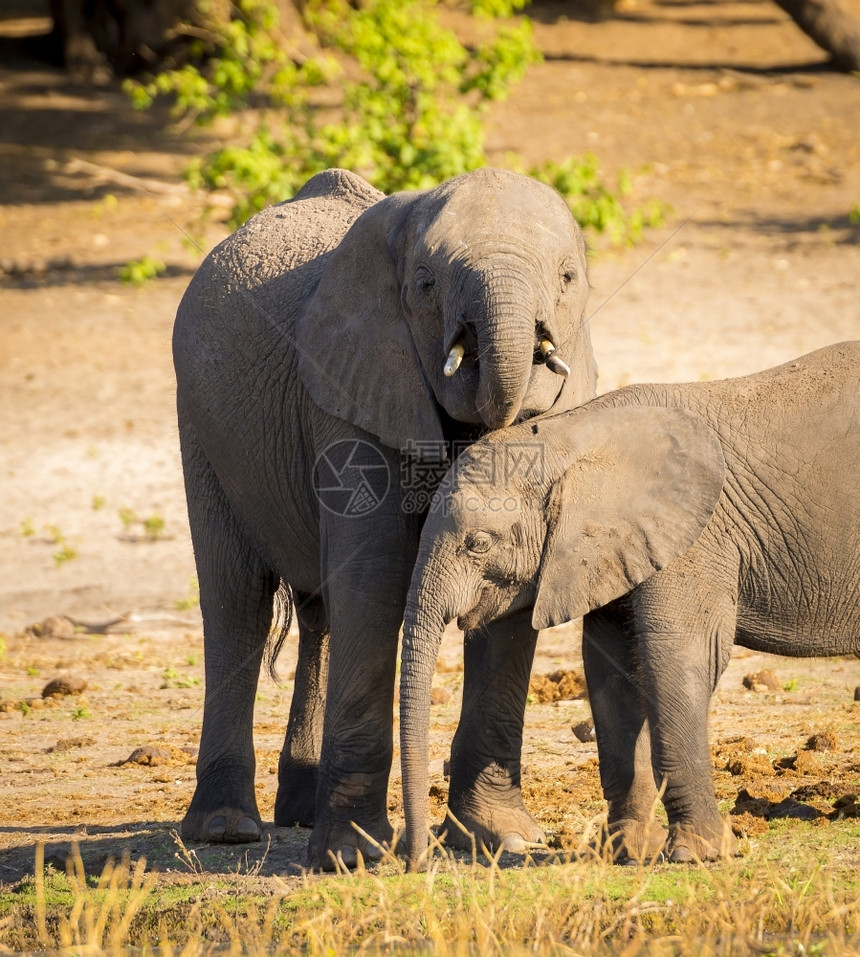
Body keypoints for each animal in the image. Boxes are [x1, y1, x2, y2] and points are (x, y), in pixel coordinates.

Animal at [170, 164, 596, 868]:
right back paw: (227, 828)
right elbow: (373, 576)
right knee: (237, 602)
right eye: (425, 284)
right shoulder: (351, 388)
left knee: (317, 613)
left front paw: (500, 839)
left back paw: (296, 812)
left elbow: (509, 593)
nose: (419, 857)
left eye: (566, 278)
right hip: (200, 429)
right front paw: (354, 856)